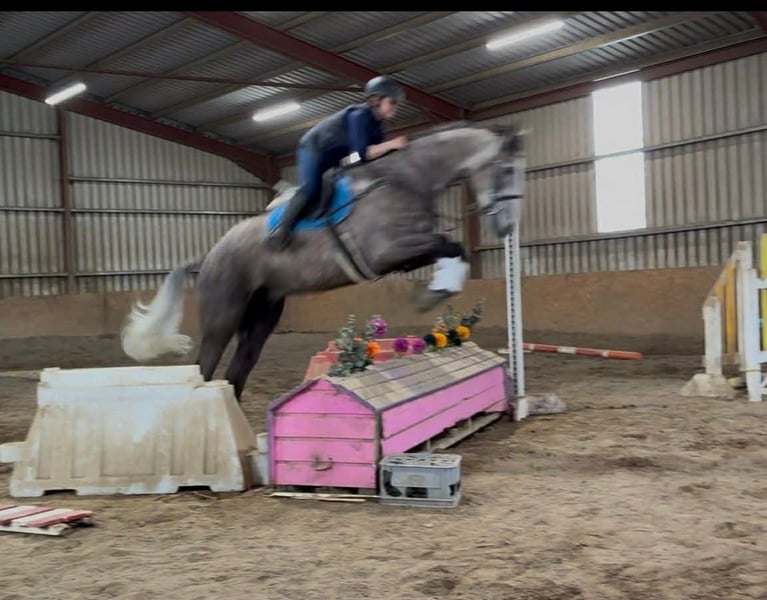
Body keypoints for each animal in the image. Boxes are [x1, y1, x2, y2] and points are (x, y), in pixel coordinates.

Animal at [120, 121, 526, 401]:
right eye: (506, 170)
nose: (507, 225)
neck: (406, 179)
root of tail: (210, 254)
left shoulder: (405, 254)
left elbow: (453, 248)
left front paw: (438, 290)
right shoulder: (387, 253)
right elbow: (451, 246)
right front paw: (435, 293)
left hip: (262, 315)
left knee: (238, 369)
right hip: (224, 315)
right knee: (206, 368)